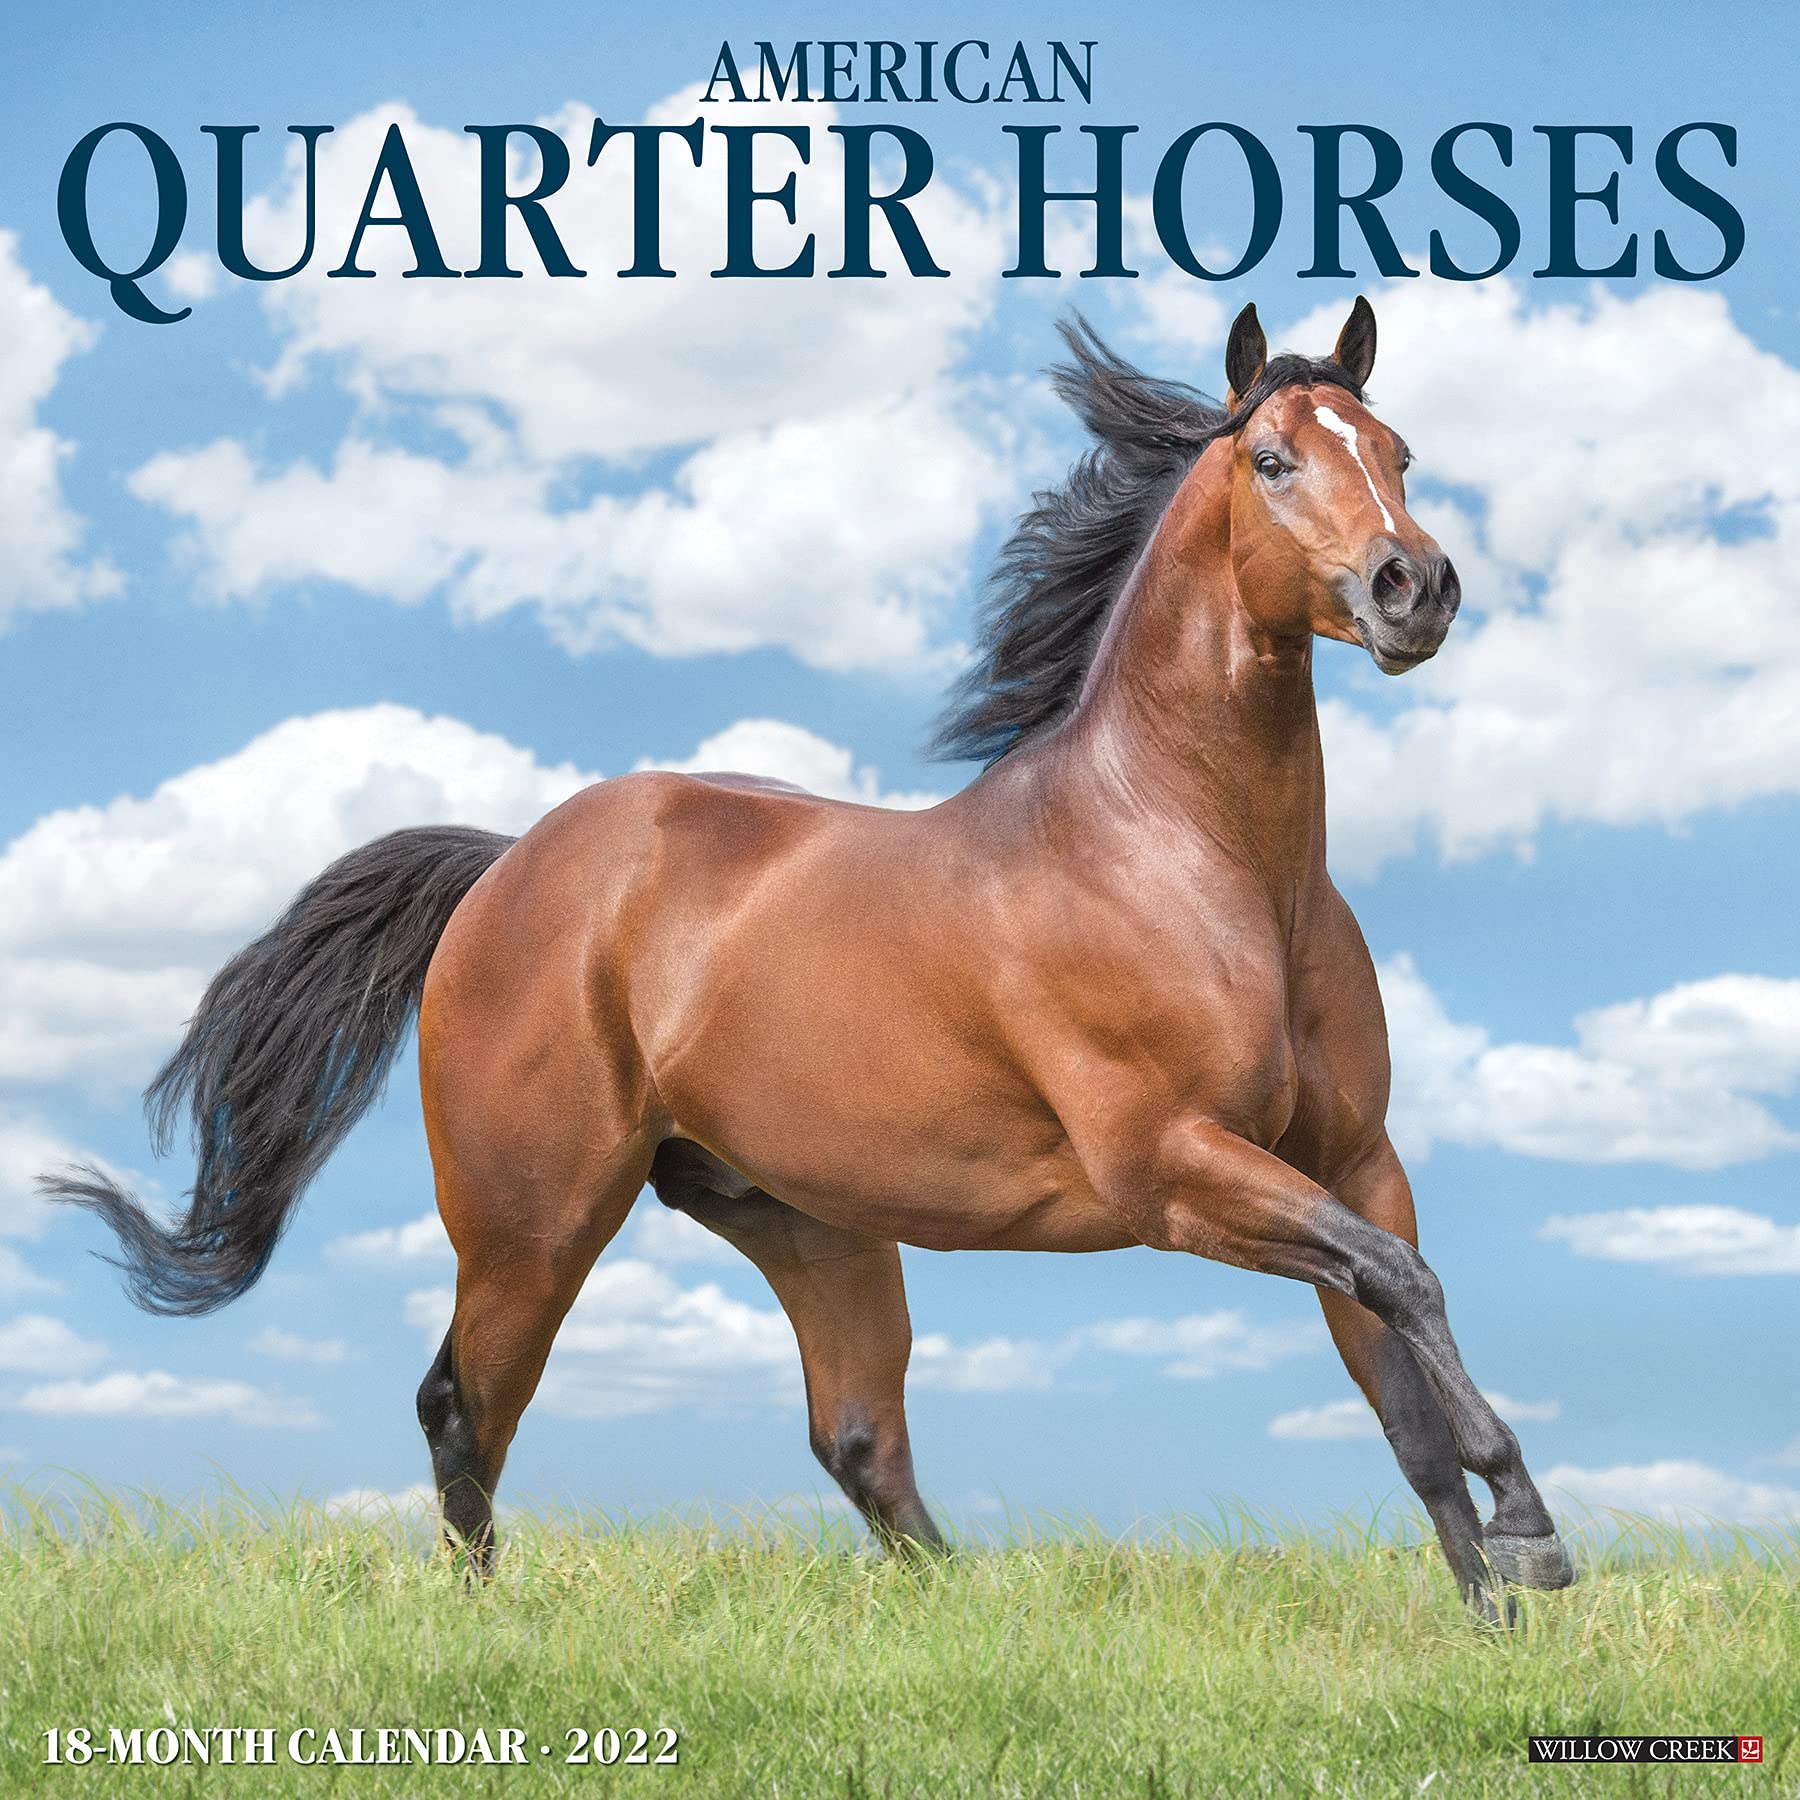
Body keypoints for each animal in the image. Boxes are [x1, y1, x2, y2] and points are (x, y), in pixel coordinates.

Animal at [42, 297, 1575, 1621]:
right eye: (1271, 459)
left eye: (1397, 452)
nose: (1414, 588)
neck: (1211, 868)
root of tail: (507, 864)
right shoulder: (1174, 1166)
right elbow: (1400, 1287)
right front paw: (1532, 1529)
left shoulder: (1350, 1158)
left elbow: (1399, 1360)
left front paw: (1495, 1610)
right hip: (533, 1219)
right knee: (464, 1409)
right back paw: (487, 1626)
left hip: (806, 1223)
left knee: (856, 1440)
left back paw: (972, 1620)